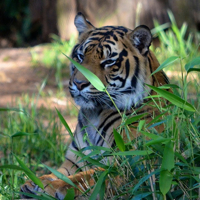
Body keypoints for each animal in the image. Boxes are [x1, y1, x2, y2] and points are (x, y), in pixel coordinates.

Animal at [21, 12, 169, 200]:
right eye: (80, 56)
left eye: (108, 61)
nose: (79, 83)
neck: (94, 113)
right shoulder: (74, 160)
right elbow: (57, 171)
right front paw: (35, 181)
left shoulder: (125, 162)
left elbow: (90, 176)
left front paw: (54, 186)